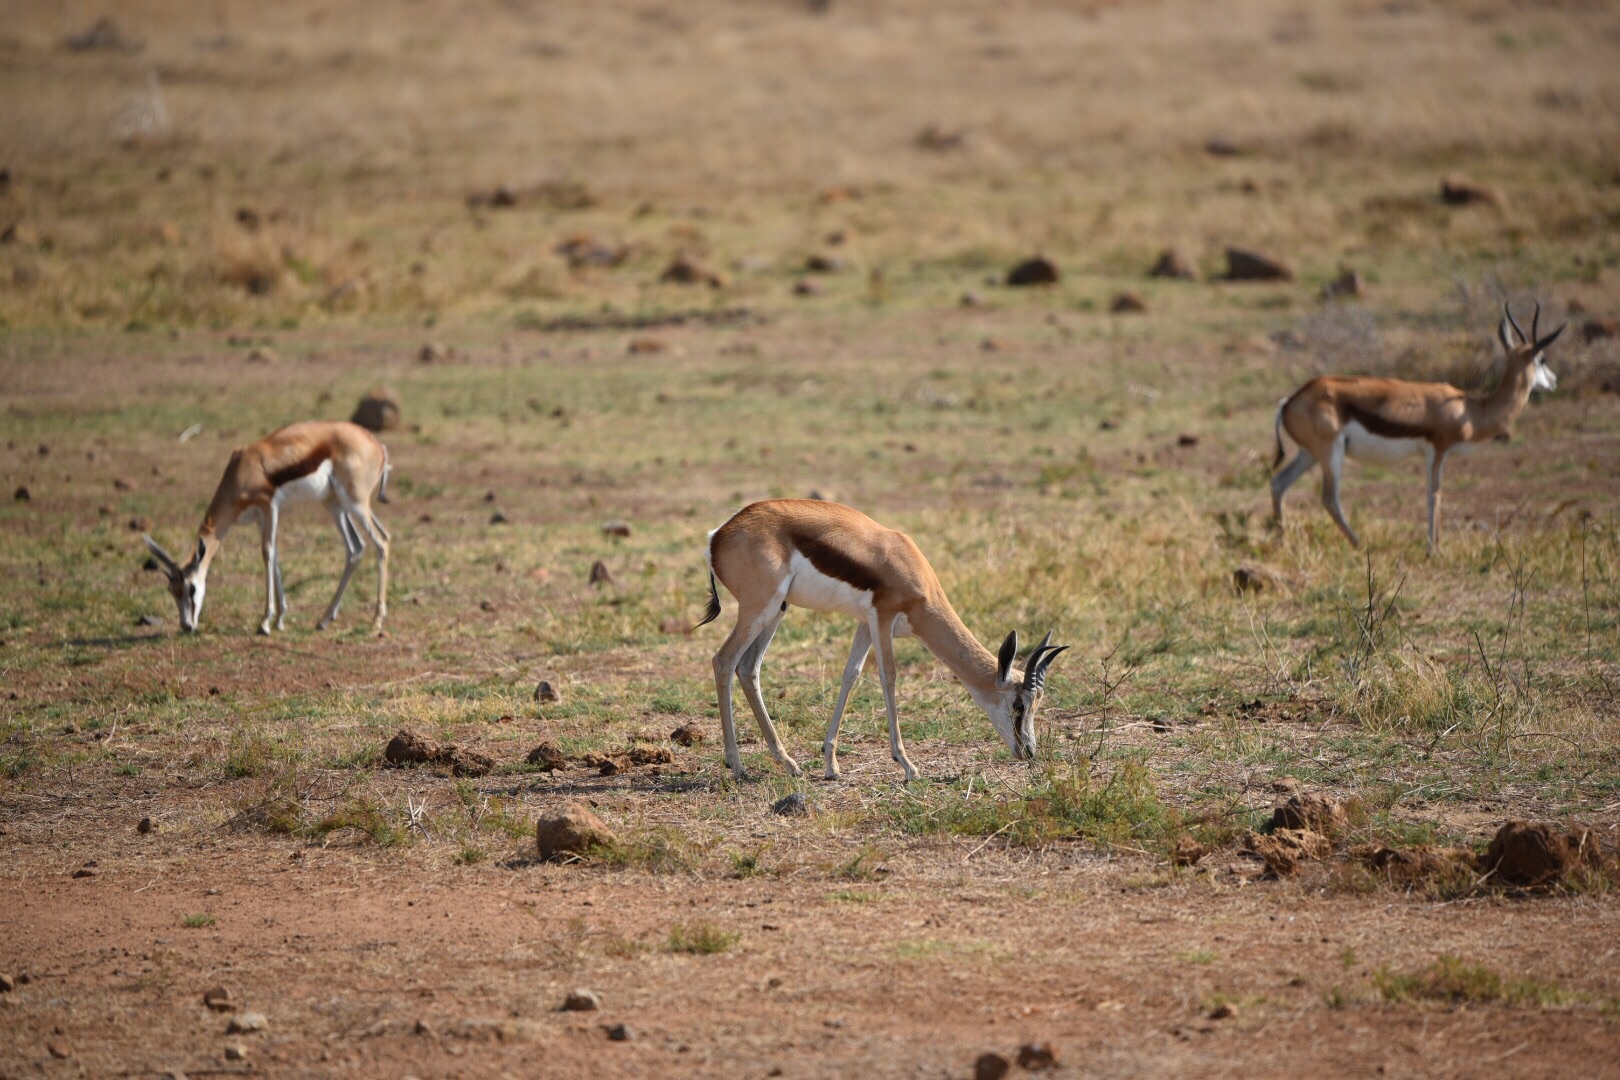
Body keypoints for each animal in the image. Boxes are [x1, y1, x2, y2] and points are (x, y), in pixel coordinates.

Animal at [144, 420, 392, 637]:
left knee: (381, 541)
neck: (241, 470)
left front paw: (264, 623)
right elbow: (276, 558)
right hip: (334, 504)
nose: (186, 626)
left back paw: (376, 621)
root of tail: (377, 444)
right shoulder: (260, 519)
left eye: (192, 588)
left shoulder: (269, 507)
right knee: (355, 548)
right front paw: (280, 619)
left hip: (355, 503)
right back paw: (323, 620)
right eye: (171, 590)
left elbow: (268, 553)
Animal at [693, 501, 1062, 780]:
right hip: (760, 607)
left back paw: (788, 763)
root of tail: (719, 534)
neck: (910, 569)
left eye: (1037, 705)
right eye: (1018, 705)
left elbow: (851, 675)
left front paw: (831, 764)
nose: (1029, 751)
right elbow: (889, 677)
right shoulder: (883, 618)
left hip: (776, 611)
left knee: (747, 668)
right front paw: (908, 765)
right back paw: (737, 766)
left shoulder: (864, 623)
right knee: (723, 661)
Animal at [1270, 304, 1561, 553]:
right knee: (1329, 498)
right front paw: (1434, 550)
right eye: (1542, 359)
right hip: (1331, 452)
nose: (1554, 382)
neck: (1469, 408)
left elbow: (1434, 493)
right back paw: (1360, 544)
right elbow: (1435, 494)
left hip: (1309, 454)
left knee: (1279, 483)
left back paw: (1282, 543)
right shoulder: (1438, 449)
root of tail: (1290, 401)